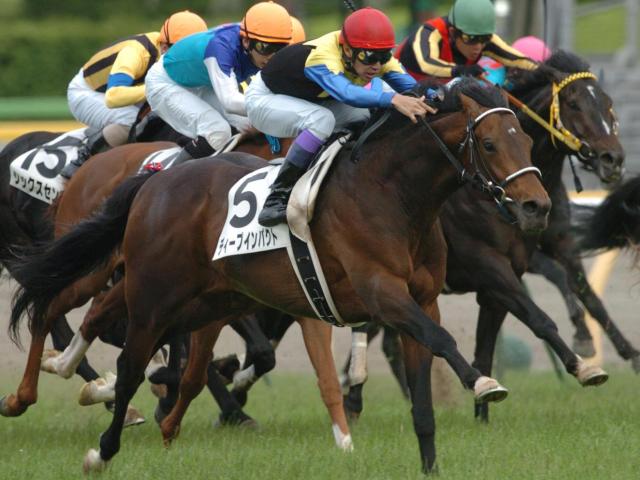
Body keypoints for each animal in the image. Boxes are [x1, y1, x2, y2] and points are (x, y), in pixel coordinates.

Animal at [9, 78, 550, 473]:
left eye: (526, 139)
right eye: (487, 143)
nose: (537, 207)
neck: (391, 194)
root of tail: (155, 180)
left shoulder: (421, 299)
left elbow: (422, 391)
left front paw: (430, 462)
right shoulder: (382, 294)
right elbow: (441, 339)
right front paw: (484, 383)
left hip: (205, 300)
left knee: (121, 333)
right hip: (152, 296)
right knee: (117, 360)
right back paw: (94, 441)